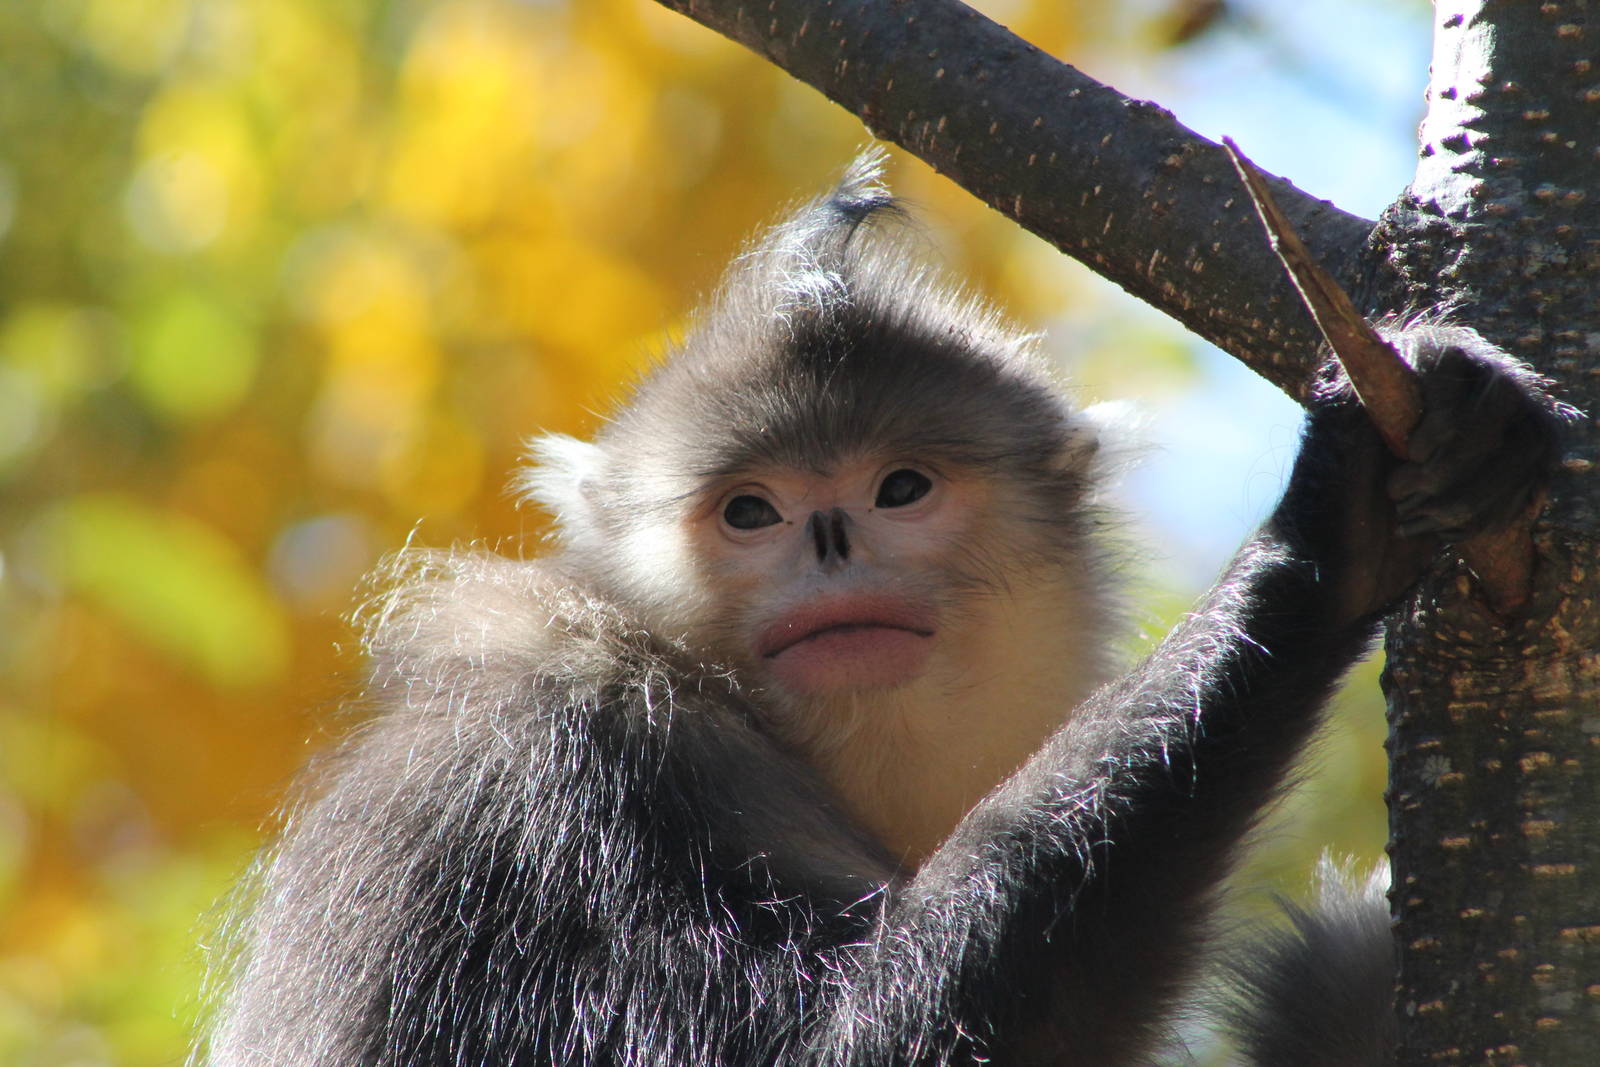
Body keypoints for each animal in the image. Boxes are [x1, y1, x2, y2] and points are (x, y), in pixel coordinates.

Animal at [201, 154, 1562, 1066]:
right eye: (751, 510)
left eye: (898, 488)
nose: (830, 535)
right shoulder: (540, 772)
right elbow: (850, 1045)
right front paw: (1328, 524)